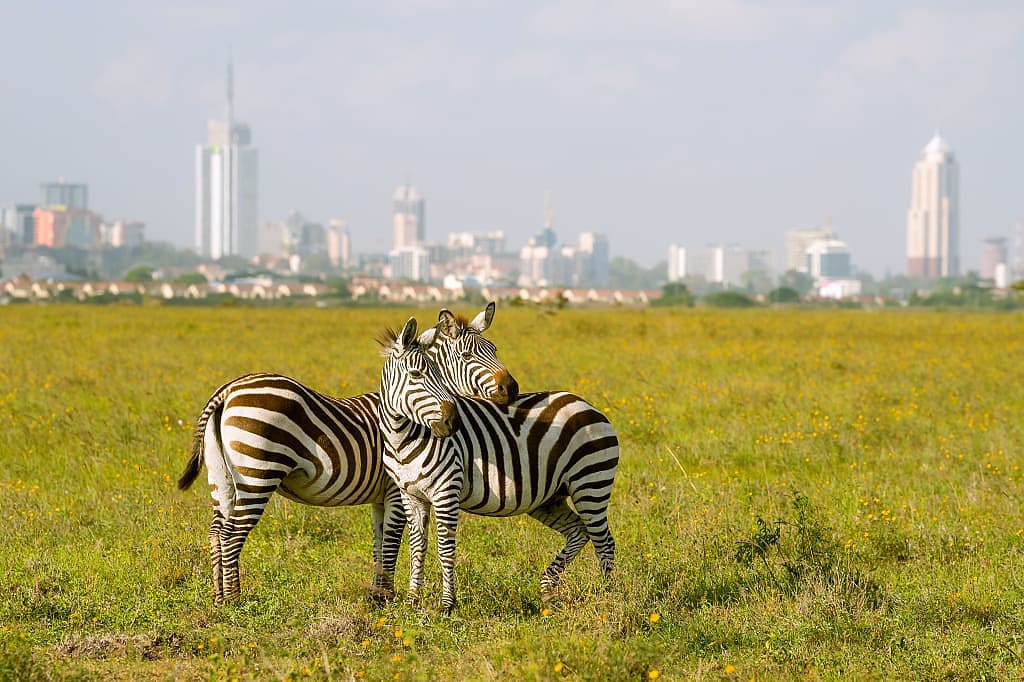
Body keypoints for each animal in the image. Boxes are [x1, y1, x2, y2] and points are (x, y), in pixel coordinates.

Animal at [176, 303, 517, 605]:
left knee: (216, 532)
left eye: (495, 349)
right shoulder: (395, 490)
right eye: (467, 355)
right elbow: (392, 542)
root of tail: (228, 390)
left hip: (221, 478)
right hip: (257, 474)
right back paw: (235, 600)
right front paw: (385, 597)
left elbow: (380, 543)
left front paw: (377, 595)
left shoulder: (381, 496)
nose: (511, 389)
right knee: (232, 534)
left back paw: (218, 597)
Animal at [377, 316, 619, 614]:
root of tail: (587, 405)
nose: (452, 423)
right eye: (416, 375)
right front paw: (412, 601)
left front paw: (447, 605)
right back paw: (548, 590)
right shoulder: (410, 495)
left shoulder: (446, 492)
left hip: (591, 483)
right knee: (579, 531)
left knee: (604, 542)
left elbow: (445, 549)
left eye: (439, 376)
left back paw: (608, 597)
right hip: (549, 498)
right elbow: (416, 547)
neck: (403, 439)